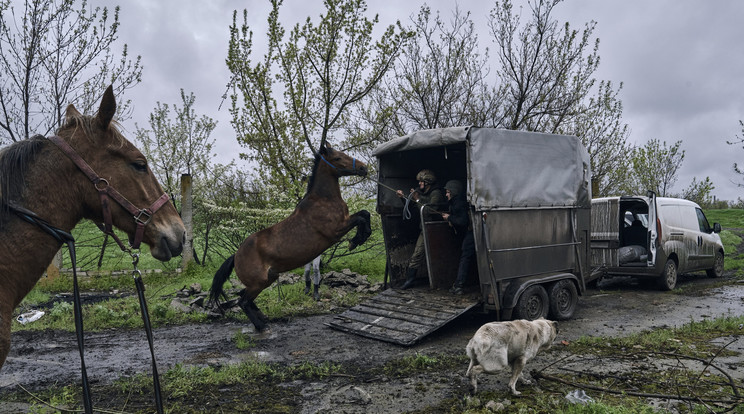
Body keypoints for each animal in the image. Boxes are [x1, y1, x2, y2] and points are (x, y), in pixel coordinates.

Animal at [209, 144, 372, 332]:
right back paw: (261, 326)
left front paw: (361, 236)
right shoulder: (335, 231)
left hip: (267, 279)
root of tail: (235, 256)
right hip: (259, 282)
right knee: (243, 301)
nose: (363, 168)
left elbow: (364, 213)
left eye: (343, 153)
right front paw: (356, 240)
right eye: (337, 158)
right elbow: (361, 218)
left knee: (244, 298)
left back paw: (264, 320)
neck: (323, 200)